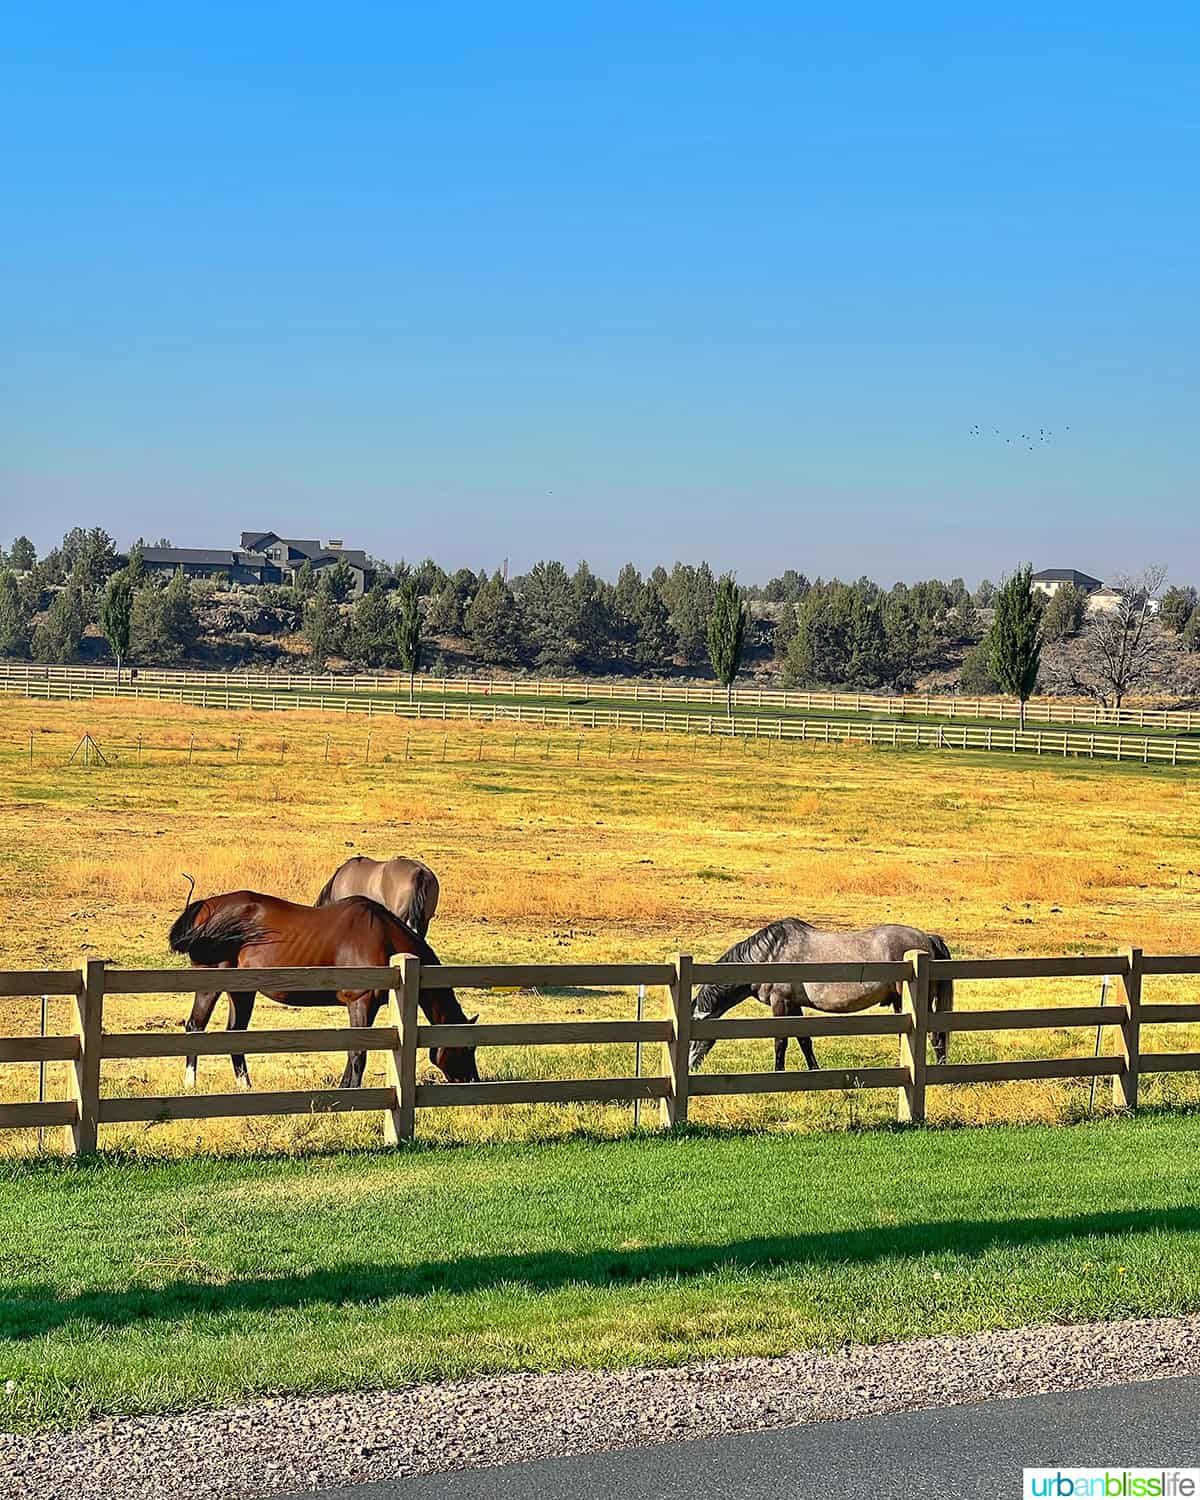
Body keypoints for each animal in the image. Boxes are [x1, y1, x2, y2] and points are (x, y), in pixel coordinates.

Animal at [168, 888, 477, 1092]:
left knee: (235, 1035)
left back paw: (246, 1087)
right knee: (195, 1026)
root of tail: (205, 907)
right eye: (467, 1047)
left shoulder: (368, 1006)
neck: (385, 938)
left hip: (242, 992)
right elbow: (358, 1053)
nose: (472, 1080)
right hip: (211, 984)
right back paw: (190, 1084)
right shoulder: (360, 1002)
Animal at [684, 918, 954, 1074]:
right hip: (900, 1003)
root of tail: (927, 939)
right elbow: (804, 1040)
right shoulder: (793, 1005)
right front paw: (814, 1069)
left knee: (935, 1036)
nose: (690, 1067)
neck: (770, 954)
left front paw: (778, 1072)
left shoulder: (780, 1003)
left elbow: (780, 1041)